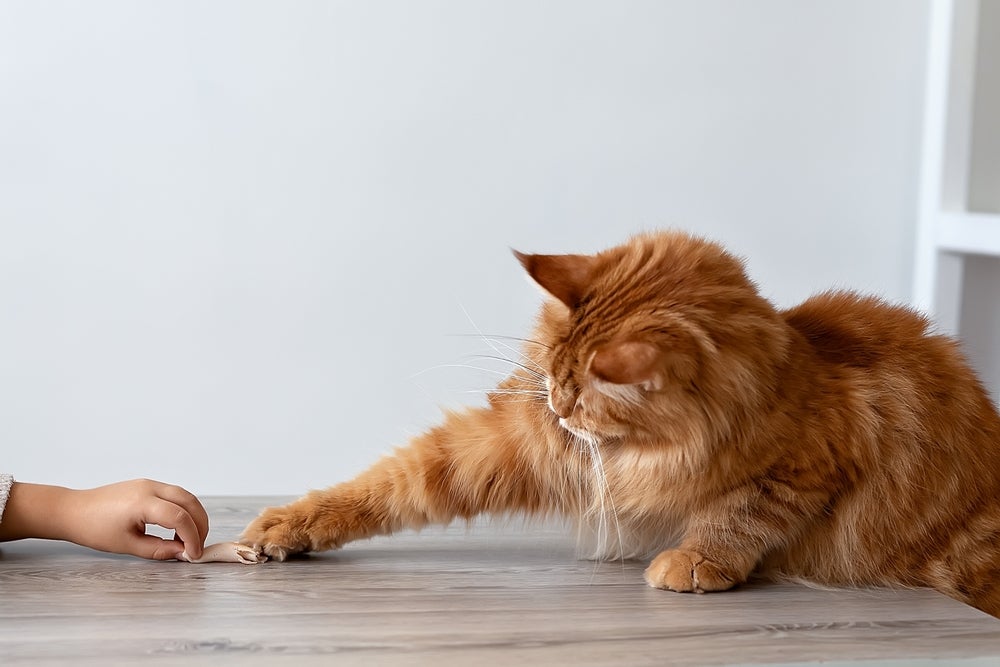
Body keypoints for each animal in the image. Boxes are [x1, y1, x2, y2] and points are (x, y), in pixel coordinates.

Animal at [242, 232, 1000, 620]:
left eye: (582, 397)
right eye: (550, 371)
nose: (553, 404)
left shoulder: (812, 463)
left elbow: (741, 511)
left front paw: (694, 561)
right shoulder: (520, 443)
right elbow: (388, 484)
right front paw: (285, 526)